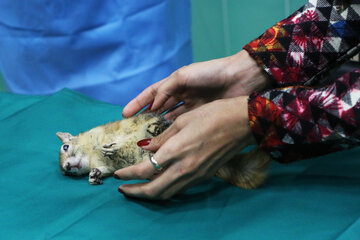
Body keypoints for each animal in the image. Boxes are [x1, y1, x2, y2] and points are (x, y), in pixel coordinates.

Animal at [56, 113, 270, 189]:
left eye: (65, 147)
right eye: (65, 173)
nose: (67, 167)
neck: (92, 155)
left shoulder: (105, 133)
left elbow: (117, 139)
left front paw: (113, 147)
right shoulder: (106, 166)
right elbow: (104, 170)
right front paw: (94, 175)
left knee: (157, 128)